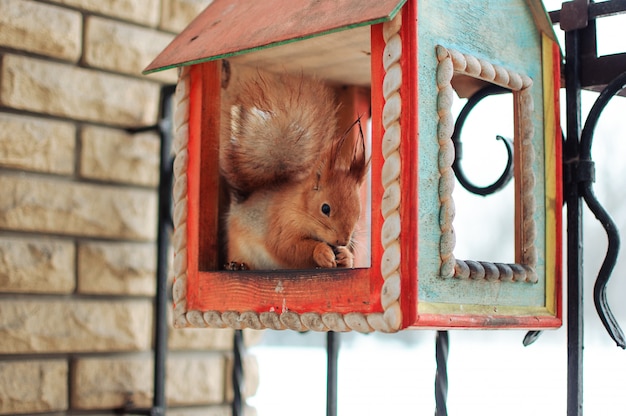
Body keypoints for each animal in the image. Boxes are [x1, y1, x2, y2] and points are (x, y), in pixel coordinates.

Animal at [219, 72, 368, 270]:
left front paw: (344, 255)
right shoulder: (281, 225)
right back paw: (239, 265)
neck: (300, 206)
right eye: (325, 208)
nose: (342, 241)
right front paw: (322, 252)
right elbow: (288, 248)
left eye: (358, 213)